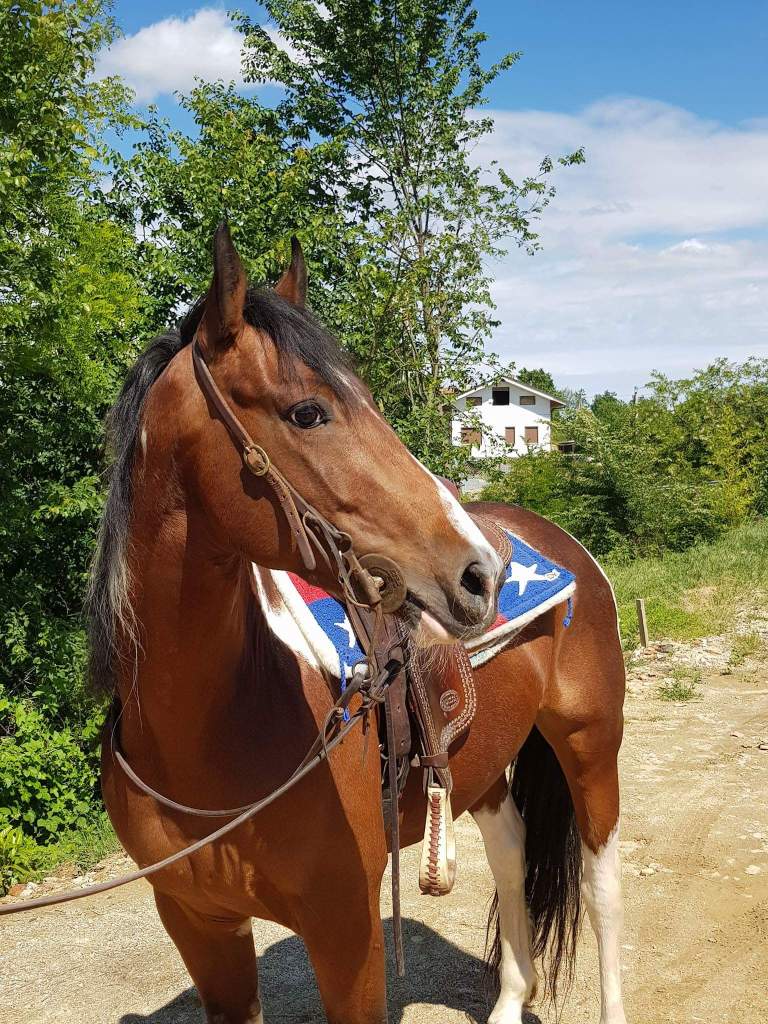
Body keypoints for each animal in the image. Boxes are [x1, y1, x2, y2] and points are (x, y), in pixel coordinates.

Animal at [89, 225, 627, 1024]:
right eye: (309, 412)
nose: (481, 574)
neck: (205, 740)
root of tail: (558, 541)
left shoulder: (346, 927)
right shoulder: (198, 925)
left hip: (591, 748)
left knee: (600, 890)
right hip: (481, 768)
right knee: (511, 852)